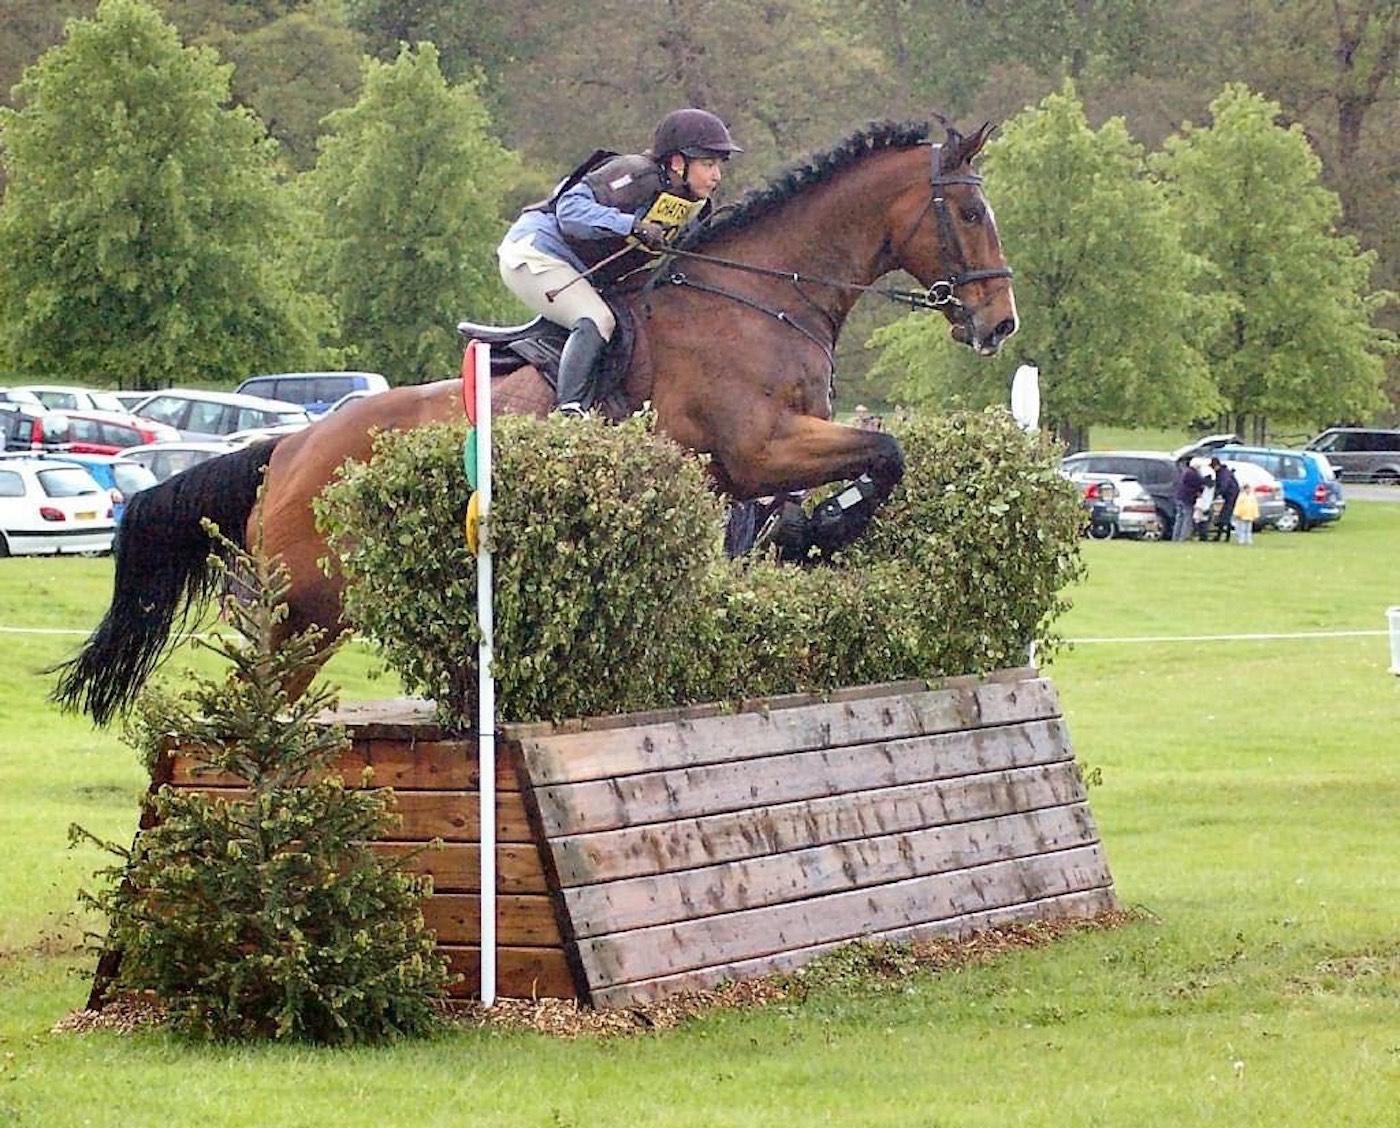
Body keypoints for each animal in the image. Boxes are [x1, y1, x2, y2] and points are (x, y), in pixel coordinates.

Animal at [52, 118, 1017, 725]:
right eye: (971, 212)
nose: (999, 325)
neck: (758, 297)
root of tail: (290, 444)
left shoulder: (765, 462)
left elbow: (879, 461)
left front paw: (809, 533)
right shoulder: (758, 452)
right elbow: (886, 452)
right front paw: (825, 531)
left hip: (318, 613)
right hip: (303, 607)